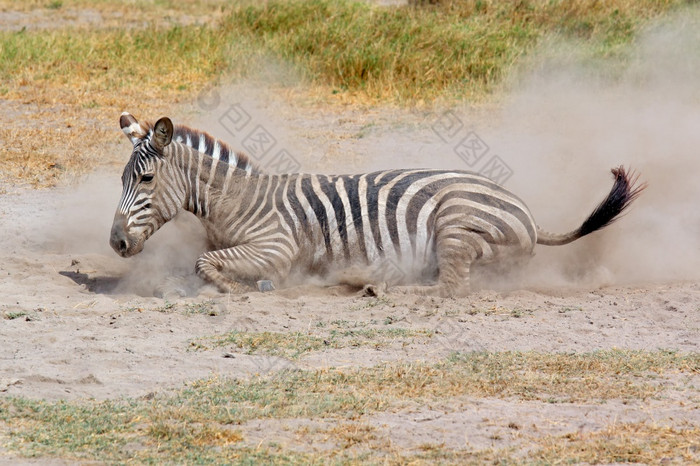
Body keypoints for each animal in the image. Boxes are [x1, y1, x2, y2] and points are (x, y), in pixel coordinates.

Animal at [109, 113, 644, 296]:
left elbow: (207, 263)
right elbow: (198, 261)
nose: (115, 243)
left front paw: (241, 286)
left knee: (449, 288)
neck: (237, 202)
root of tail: (527, 211)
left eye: (147, 178)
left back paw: (376, 286)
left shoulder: (277, 248)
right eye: (121, 179)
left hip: (455, 224)